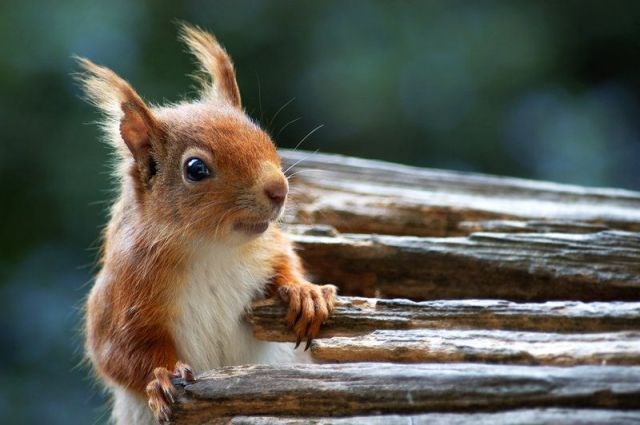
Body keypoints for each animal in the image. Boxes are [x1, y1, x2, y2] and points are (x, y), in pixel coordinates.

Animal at [78, 24, 338, 422]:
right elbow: (115, 353)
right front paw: (161, 377)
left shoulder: (270, 247)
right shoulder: (123, 292)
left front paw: (304, 293)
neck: (212, 249)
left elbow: (286, 266)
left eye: (264, 137)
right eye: (195, 169)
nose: (278, 189)